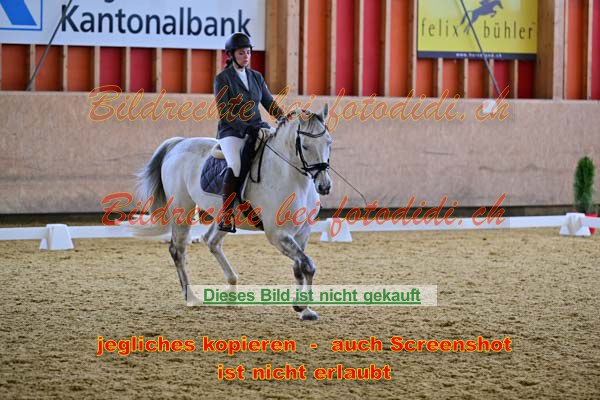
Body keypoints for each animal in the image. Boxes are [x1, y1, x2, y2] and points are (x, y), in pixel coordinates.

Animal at [131, 105, 332, 321]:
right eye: (305, 146)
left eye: (329, 142)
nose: (324, 186)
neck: (290, 176)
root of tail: (179, 143)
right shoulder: (277, 234)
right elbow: (308, 264)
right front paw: (301, 306)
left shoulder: (302, 232)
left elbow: (299, 267)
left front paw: (304, 309)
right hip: (182, 209)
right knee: (178, 250)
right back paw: (191, 297)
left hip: (223, 216)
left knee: (211, 241)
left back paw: (231, 290)